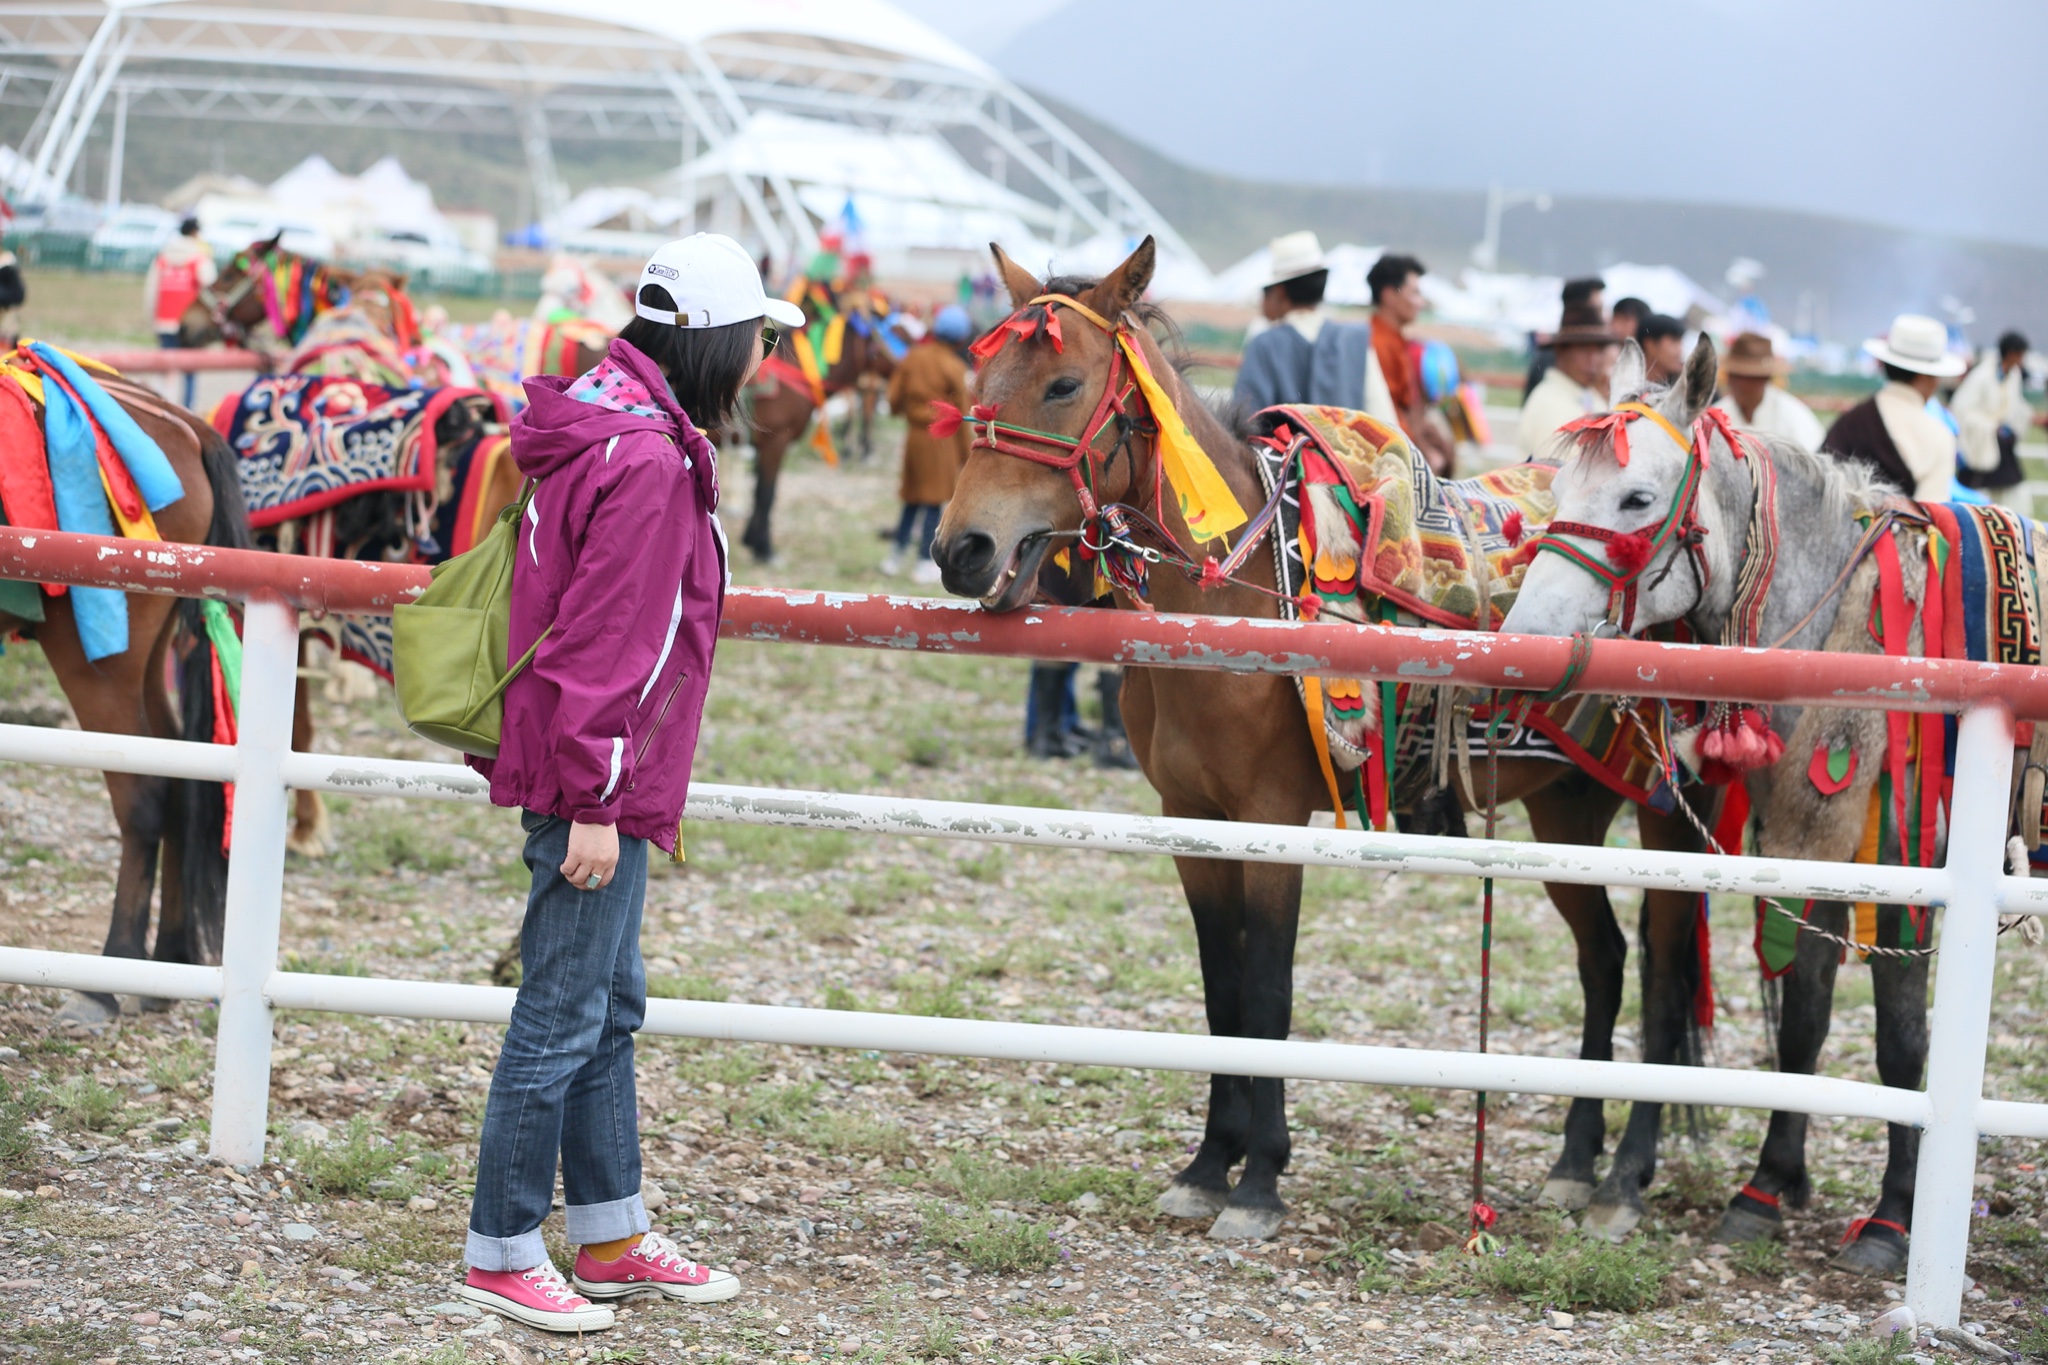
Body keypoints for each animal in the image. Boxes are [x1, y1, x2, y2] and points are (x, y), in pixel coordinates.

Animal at [2, 374, 249, 1023]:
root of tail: (186, 426)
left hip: (100, 661)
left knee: (143, 794)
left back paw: (107, 977)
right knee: (181, 776)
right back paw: (164, 965)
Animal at [933, 237, 1712, 1252]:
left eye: (1064, 384)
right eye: (979, 376)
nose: (961, 550)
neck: (1230, 609)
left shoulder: (1273, 818)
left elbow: (1267, 990)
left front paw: (1260, 1179)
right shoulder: (1192, 821)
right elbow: (1223, 990)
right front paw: (1206, 1166)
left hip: (1664, 820)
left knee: (1661, 978)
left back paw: (1626, 1179)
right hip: (1566, 807)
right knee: (1607, 962)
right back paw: (1577, 1162)